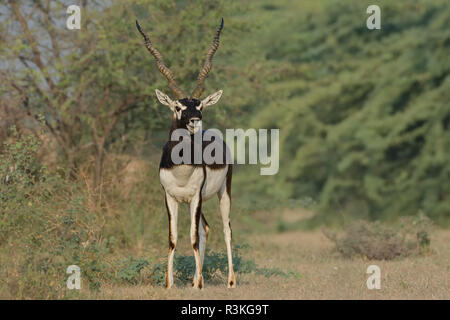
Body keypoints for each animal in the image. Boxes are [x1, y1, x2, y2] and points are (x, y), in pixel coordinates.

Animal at [135, 18, 236, 290]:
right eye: (178, 106)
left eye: (200, 105)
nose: (195, 120)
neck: (181, 171)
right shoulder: (170, 198)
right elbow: (173, 238)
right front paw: (169, 284)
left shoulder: (195, 197)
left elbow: (191, 238)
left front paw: (200, 285)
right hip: (195, 204)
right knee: (205, 229)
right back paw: (194, 279)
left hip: (222, 194)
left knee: (225, 229)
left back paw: (230, 281)